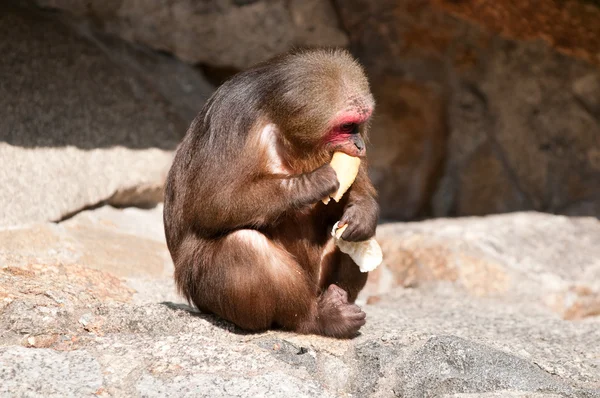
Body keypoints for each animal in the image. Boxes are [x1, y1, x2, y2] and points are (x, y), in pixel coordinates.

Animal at [163, 48, 380, 338]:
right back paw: (315, 319)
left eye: (359, 123)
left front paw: (362, 212)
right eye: (346, 126)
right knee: (243, 245)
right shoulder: (234, 121)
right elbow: (213, 204)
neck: (283, 125)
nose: (359, 144)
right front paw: (312, 182)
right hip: (205, 296)